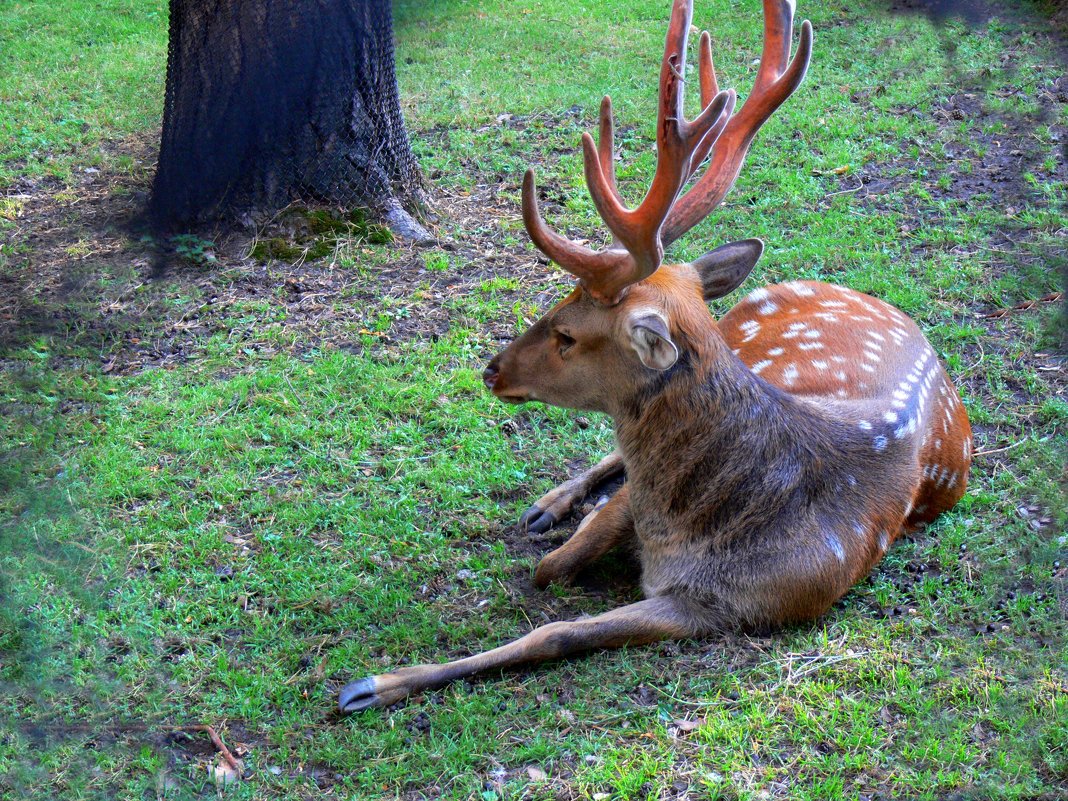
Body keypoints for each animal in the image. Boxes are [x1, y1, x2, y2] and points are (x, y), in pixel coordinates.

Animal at [337, 0, 974, 713]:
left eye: (566, 333)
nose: (492, 369)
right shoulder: (643, 522)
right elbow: (561, 560)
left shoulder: (730, 605)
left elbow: (555, 626)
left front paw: (373, 685)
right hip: (751, 328)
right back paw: (546, 505)